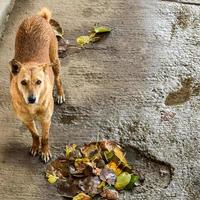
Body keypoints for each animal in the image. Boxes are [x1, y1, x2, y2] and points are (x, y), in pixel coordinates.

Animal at [9, 8, 65, 162]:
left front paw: (44, 152)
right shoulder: (27, 120)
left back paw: (60, 94)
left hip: (55, 61)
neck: (32, 108)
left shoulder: (46, 120)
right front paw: (35, 147)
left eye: (39, 82)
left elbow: (45, 137)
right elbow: (35, 134)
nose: (32, 99)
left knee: (58, 79)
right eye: (23, 82)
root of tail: (39, 17)